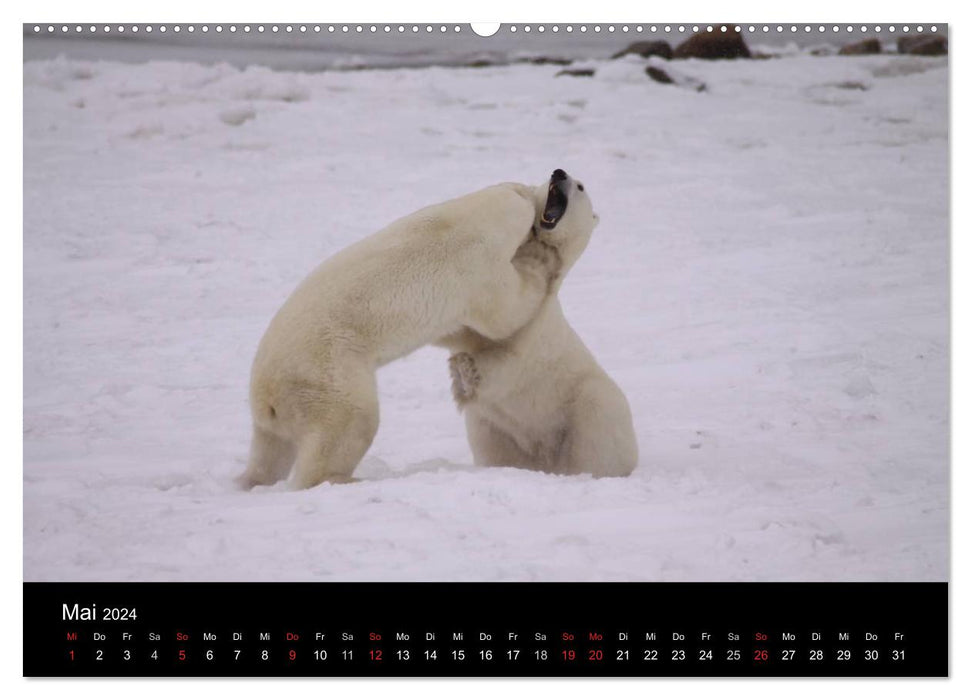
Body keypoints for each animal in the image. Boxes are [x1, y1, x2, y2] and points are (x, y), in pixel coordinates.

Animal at [239, 170, 596, 490]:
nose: (559, 172)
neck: (460, 218)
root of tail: (267, 394)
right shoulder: (477, 268)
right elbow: (505, 313)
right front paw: (539, 264)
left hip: (277, 409)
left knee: (271, 449)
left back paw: (250, 480)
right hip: (326, 372)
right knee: (351, 421)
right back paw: (342, 478)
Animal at [448, 169, 636, 478]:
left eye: (580, 186)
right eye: (556, 176)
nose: (558, 173)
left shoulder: (536, 332)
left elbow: (509, 363)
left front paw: (464, 372)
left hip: (588, 404)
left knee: (595, 438)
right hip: (497, 429)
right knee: (493, 445)